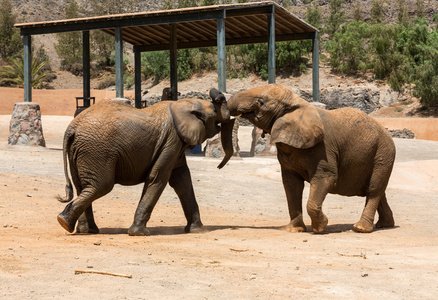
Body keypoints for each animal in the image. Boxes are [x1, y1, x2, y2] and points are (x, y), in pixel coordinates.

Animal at [57, 96, 233, 237]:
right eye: (214, 109)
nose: (218, 97)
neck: (180, 105)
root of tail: (71, 128)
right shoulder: (172, 140)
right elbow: (158, 177)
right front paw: (139, 234)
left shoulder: (174, 143)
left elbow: (182, 180)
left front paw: (198, 230)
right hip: (97, 151)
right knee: (100, 186)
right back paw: (66, 223)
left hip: (82, 152)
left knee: (82, 187)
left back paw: (83, 229)